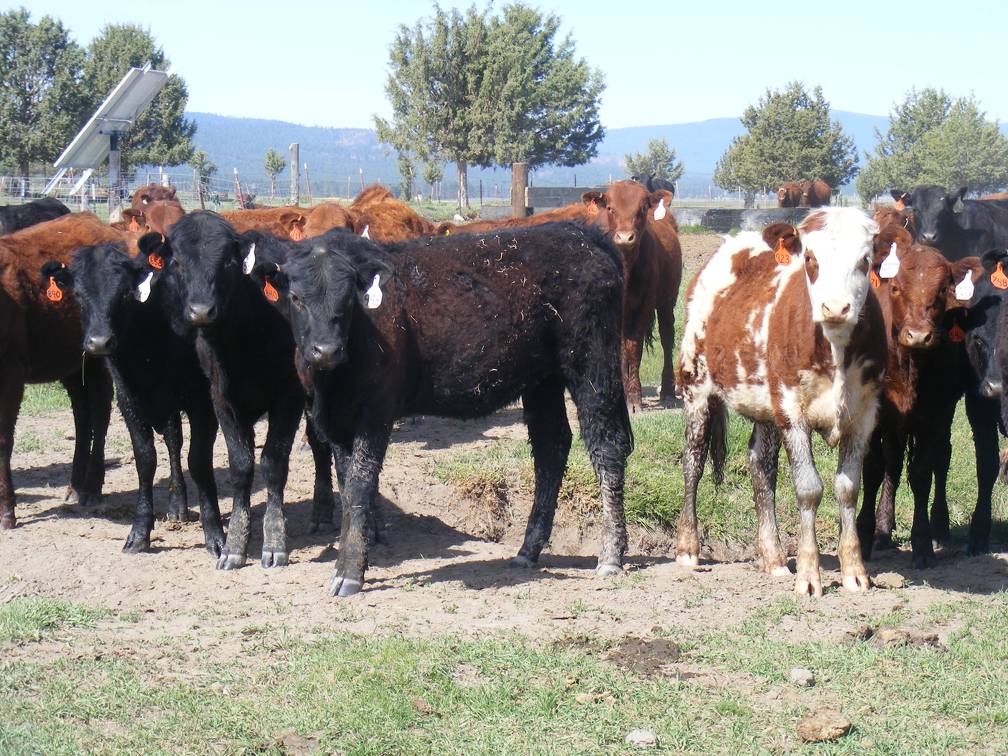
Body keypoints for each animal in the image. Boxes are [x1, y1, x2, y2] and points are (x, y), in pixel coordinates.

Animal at [139, 210, 338, 572]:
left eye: (228, 262)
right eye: (178, 263)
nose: (201, 310)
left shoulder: (288, 397)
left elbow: (273, 463)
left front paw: (274, 541)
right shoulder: (221, 400)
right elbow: (242, 465)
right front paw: (234, 542)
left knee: (320, 443)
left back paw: (321, 510)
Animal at [244, 221, 633, 600]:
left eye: (348, 298)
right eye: (296, 298)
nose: (326, 350)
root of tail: (581, 233)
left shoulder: (376, 413)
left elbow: (360, 483)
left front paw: (348, 572)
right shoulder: (338, 421)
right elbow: (347, 482)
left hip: (591, 362)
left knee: (607, 445)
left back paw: (611, 555)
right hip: (542, 379)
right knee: (551, 447)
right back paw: (528, 550)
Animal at [677, 207, 883, 596]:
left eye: (866, 260)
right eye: (811, 259)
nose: (836, 307)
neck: (833, 349)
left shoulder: (864, 414)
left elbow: (848, 488)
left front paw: (854, 570)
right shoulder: (791, 409)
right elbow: (809, 488)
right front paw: (809, 574)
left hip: (765, 406)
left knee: (760, 466)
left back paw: (773, 557)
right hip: (696, 386)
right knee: (693, 461)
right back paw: (687, 548)